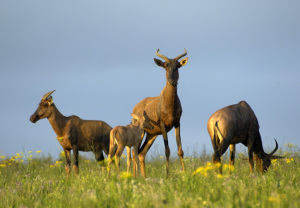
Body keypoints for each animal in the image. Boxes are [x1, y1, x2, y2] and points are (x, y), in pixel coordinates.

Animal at [131, 48, 188, 177]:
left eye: (177, 66)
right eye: (165, 66)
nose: (172, 81)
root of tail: (136, 107)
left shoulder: (177, 123)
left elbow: (180, 150)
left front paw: (185, 173)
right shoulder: (163, 125)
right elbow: (167, 151)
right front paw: (167, 176)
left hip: (152, 135)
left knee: (141, 154)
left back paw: (143, 177)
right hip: (141, 133)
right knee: (134, 152)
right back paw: (135, 176)